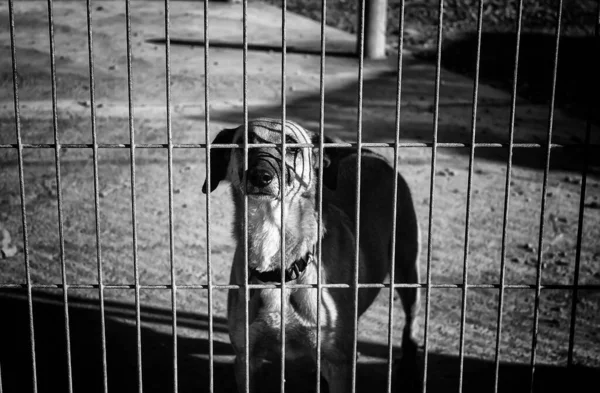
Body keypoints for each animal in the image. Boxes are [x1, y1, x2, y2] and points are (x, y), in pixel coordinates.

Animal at [204, 118, 420, 390]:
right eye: (244, 143)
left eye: (292, 146)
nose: (260, 176)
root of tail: (369, 153)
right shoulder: (245, 360)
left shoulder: (339, 365)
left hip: (406, 269)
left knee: (411, 318)